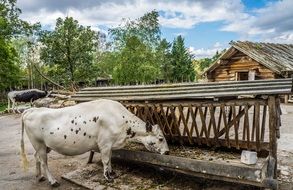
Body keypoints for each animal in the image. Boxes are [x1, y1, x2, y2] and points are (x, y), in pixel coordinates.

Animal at [20, 99, 169, 187]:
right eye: (161, 138)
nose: (167, 152)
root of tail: (32, 109)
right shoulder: (105, 144)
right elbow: (105, 160)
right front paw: (108, 177)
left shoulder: (110, 145)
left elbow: (110, 159)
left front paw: (112, 173)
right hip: (38, 143)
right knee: (44, 162)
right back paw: (52, 181)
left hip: (45, 146)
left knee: (36, 157)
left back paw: (39, 176)